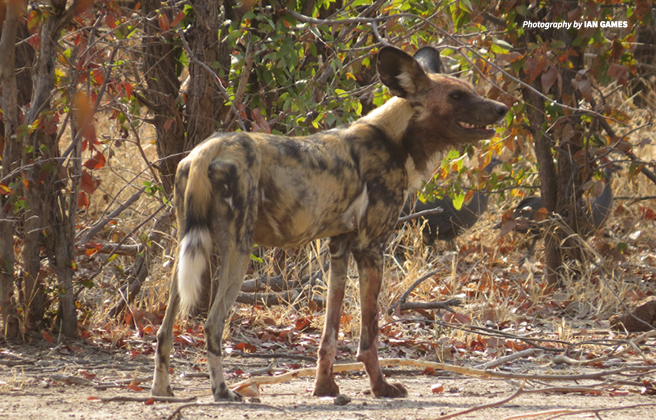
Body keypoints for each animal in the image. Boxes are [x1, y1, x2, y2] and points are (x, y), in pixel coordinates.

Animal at [152, 45, 508, 400]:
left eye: (470, 91)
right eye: (456, 96)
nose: (502, 108)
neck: (396, 139)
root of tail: (206, 150)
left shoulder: (340, 247)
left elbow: (329, 334)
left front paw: (324, 386)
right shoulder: (371, 248)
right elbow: (370, 335)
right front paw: (380, 387)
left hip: (188, 248)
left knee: (164, 329)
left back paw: (161, 390)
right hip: (238, 251)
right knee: (212, 324)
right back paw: (223, 391)